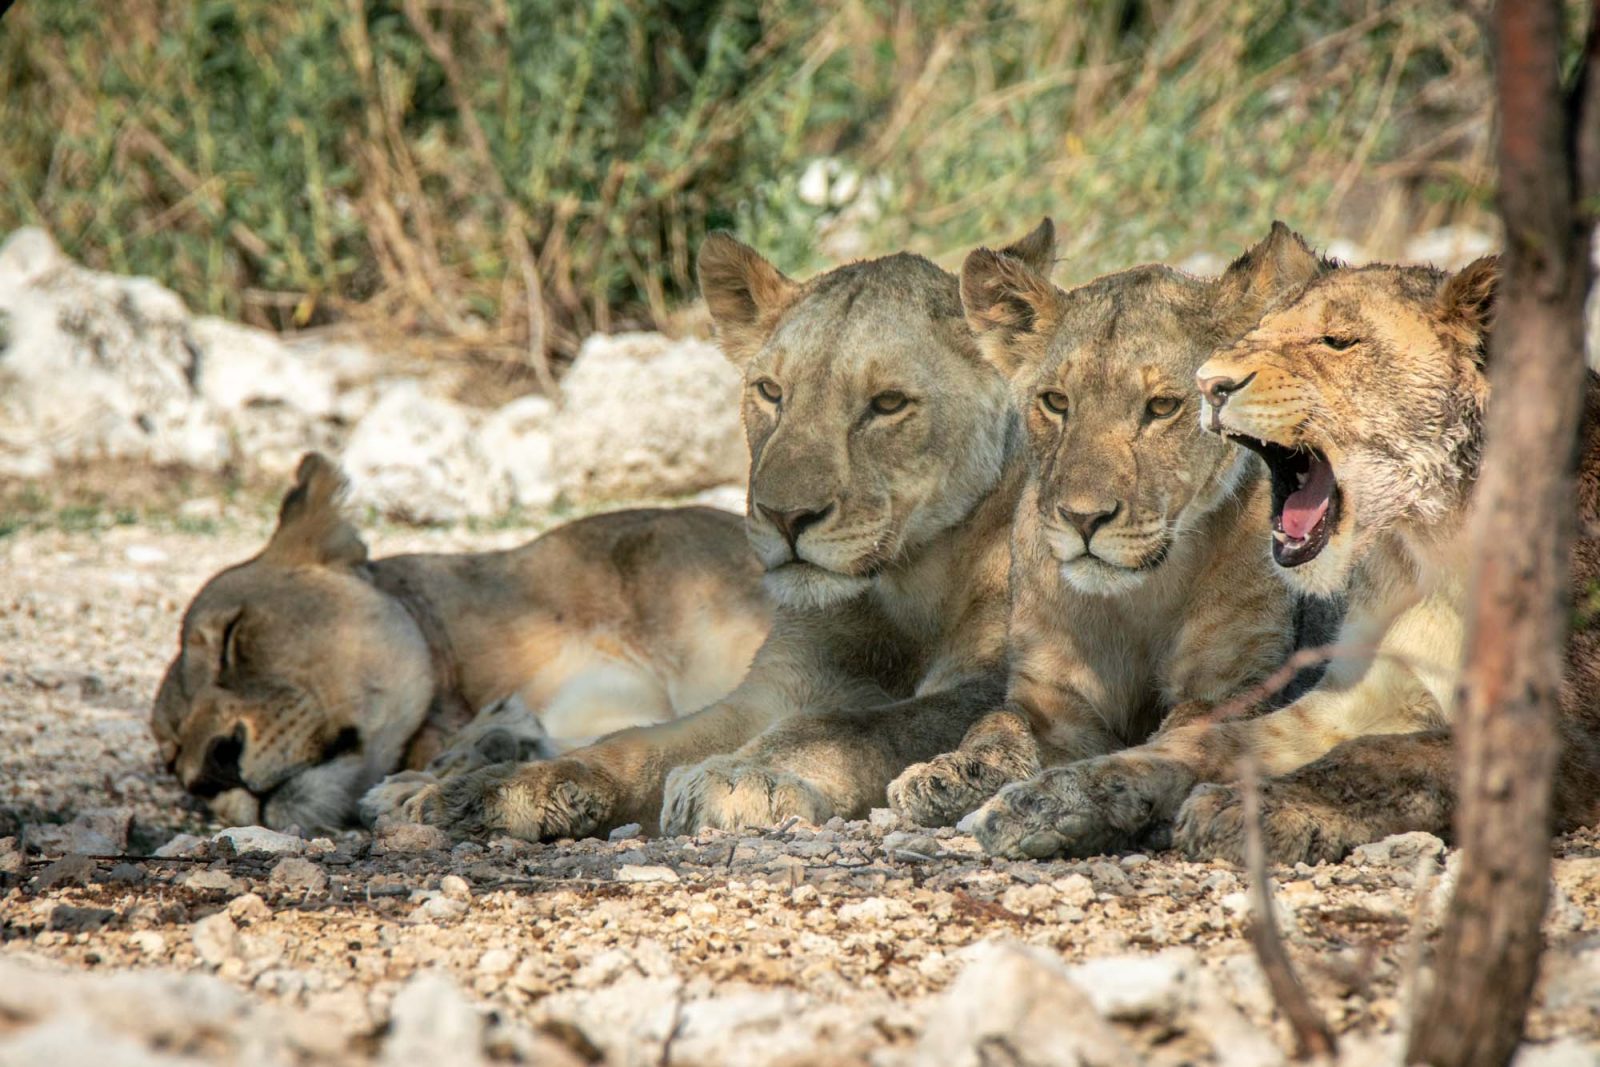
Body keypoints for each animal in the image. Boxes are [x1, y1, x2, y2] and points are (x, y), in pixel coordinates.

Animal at [379, 231, 1043, 844]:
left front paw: (746, 777)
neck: (904, 586)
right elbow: (636, 742)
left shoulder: (989, 684)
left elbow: (854, 725)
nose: (785, 516)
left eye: (887, 404)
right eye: (771, 392)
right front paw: (502, 790)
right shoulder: (773, 687)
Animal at [889, 223, 1337, 831]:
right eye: (1056, 401)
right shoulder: (1053, 702)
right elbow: (997, 724)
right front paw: (947, 773)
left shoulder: (1246, 679)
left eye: (1163, 407)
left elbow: (1193, 726)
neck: (1140, 596)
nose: (1083, 518)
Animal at [966, 244, 1600, 870]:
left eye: (1337, 342)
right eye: (1258, 335)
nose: (1213, 384)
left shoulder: (1563, 735)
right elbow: (1201, 742)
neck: (1429, 546)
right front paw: (1048, 800)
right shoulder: (1348, 699)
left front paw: (1250, 812)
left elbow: (1382, 759)